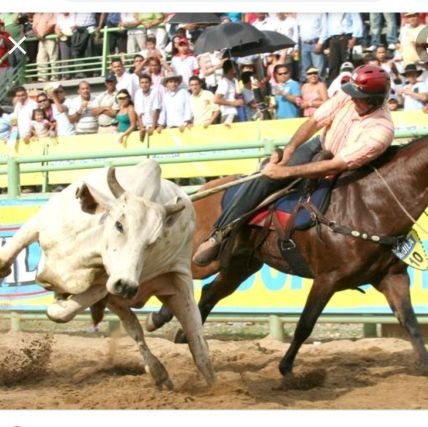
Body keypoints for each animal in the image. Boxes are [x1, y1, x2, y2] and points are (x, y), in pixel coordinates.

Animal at [0, 160, 214, 392]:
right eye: (119, 225)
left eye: (153, 242)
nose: (127, 286)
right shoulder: (39, 222)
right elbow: (8, 255)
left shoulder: (107, 284)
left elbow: (60, 312)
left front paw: (61, 302)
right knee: (135, 328)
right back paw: (159, 371)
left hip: (177, 282)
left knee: (197, 344)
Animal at [144, 135, 428, 380]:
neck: (370, 204)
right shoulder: (327, 278)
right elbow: (305, 323)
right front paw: (286, 367)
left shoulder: (392, 277)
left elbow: (410, 322)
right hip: (202, 259)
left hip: (240, 265)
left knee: (207, 292)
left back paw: (177, 329)